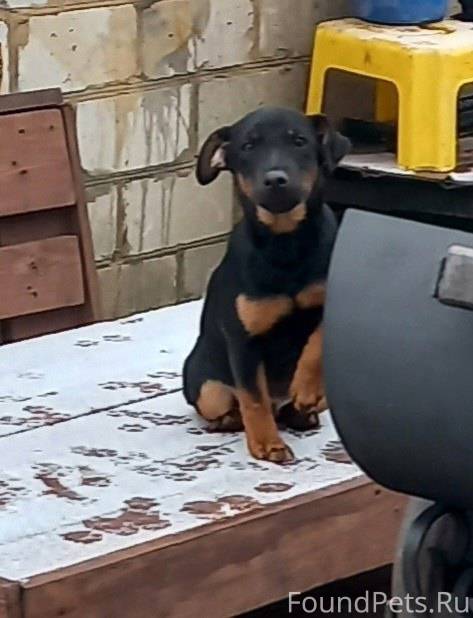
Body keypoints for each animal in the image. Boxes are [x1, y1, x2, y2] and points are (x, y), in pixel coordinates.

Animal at [183, 106, 350, 463]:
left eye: (299, 141)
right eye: (247, 147)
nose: (275, 179)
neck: (285, 244)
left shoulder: (329, 305)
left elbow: (315, 344)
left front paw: (305, 388)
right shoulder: (244, 339)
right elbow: (254, 398)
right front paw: (267, 445)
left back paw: (303, 412)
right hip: (206, 384)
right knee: (229, 404)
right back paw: (230, 420)